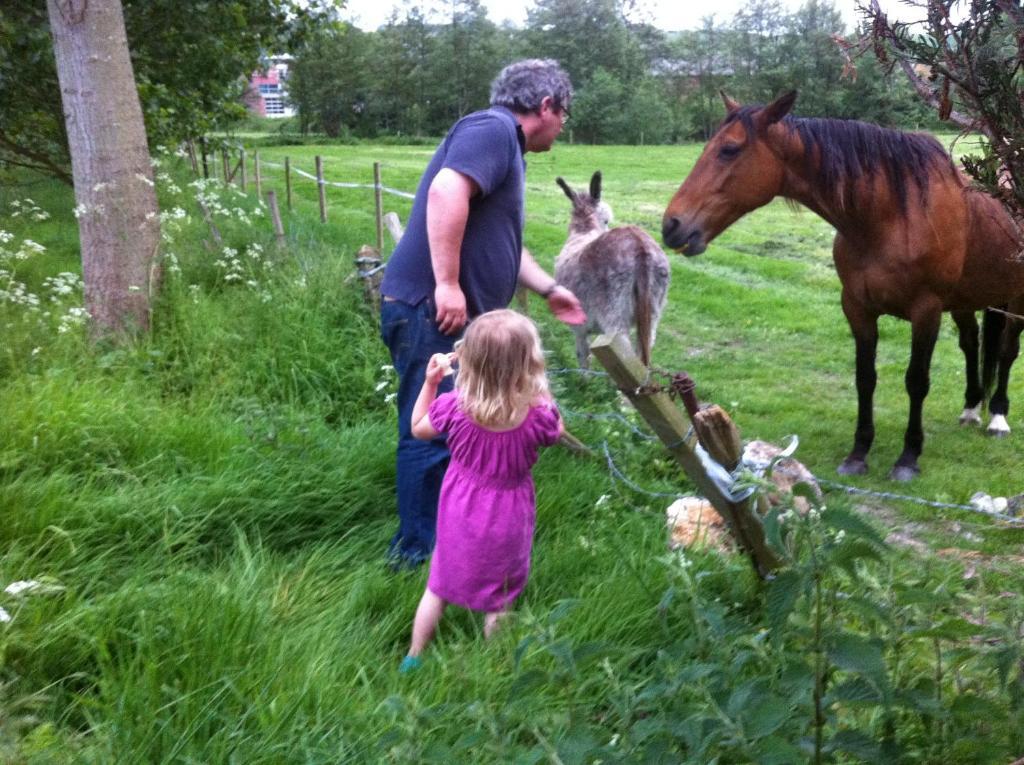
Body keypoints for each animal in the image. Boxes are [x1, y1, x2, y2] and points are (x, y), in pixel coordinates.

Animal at [659, 92, 1019, 481]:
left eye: (729, 149)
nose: (671, 225)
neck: (891, 216)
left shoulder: (926, 312)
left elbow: (916, 381)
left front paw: (908, 457)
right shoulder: (857, 308)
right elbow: (865, 378)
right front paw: (858, 453)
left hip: (1015, 301)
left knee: (1006, 352)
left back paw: (998, 417)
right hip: (966, 301)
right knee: (972, 344)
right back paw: (971, 409)